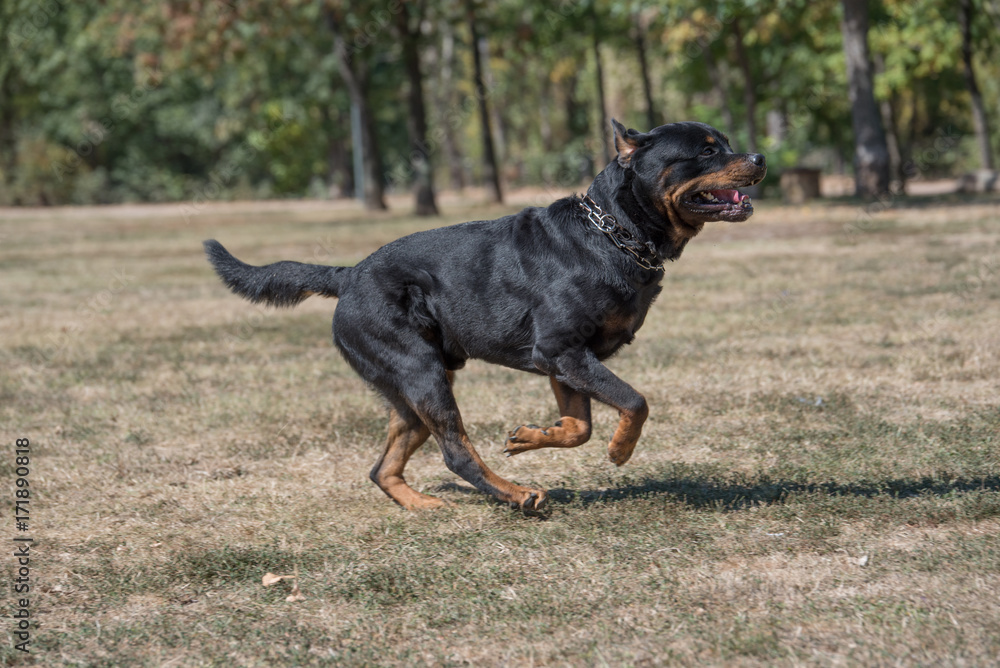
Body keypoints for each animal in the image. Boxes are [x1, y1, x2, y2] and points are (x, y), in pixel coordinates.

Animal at [203, 120, 764, 512]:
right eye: (707, 150)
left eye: (726, 142)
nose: (759, 157)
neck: (612, 233)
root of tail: (349, 275)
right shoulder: (561, 350)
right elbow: (634, 400)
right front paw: (621, 451)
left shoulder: (563, 361)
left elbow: (578, 426)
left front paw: (531, 436)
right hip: (421, 372)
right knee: (456, 451)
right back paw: (517, 496)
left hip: (411, 391)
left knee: (383, 467)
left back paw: (421, 503)